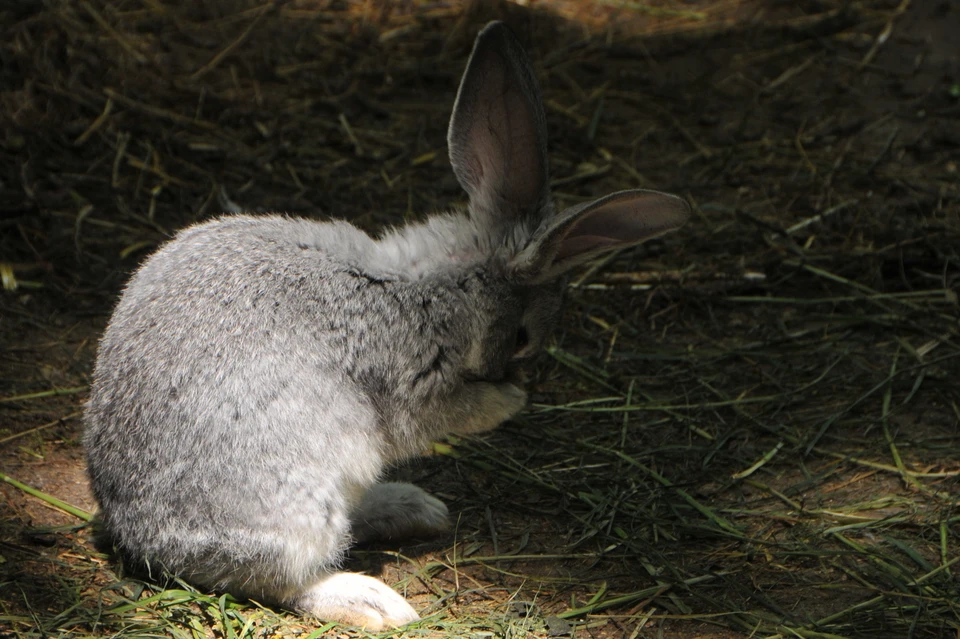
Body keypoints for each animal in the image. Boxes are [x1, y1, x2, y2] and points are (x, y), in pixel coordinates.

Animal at [84, 18, 688, 632]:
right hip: (302, 497)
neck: (437, 283)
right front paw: (509, 401)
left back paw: (413, 507)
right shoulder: (418, 381)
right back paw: (374, 601)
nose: (515, 372)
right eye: (523, 337)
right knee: (281, 581)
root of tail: (140, 536)